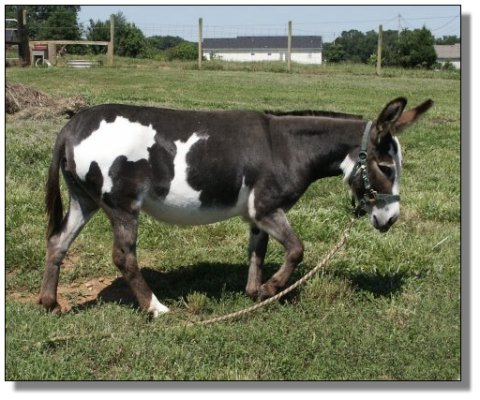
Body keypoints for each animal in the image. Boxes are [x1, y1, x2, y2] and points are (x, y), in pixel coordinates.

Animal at [38, 97, 433, 317]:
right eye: (387, 167)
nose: (390, 219)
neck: (287, 147)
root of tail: (71, 126)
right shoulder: (268, 208)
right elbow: (296, 249)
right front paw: (273, 290)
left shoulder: (257, 215)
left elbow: (257, 252)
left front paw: (255, 293)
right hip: (121, 205)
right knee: (124, 258)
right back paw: (156, 308)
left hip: (85, 200)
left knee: (58, 242)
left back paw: (49, 303)